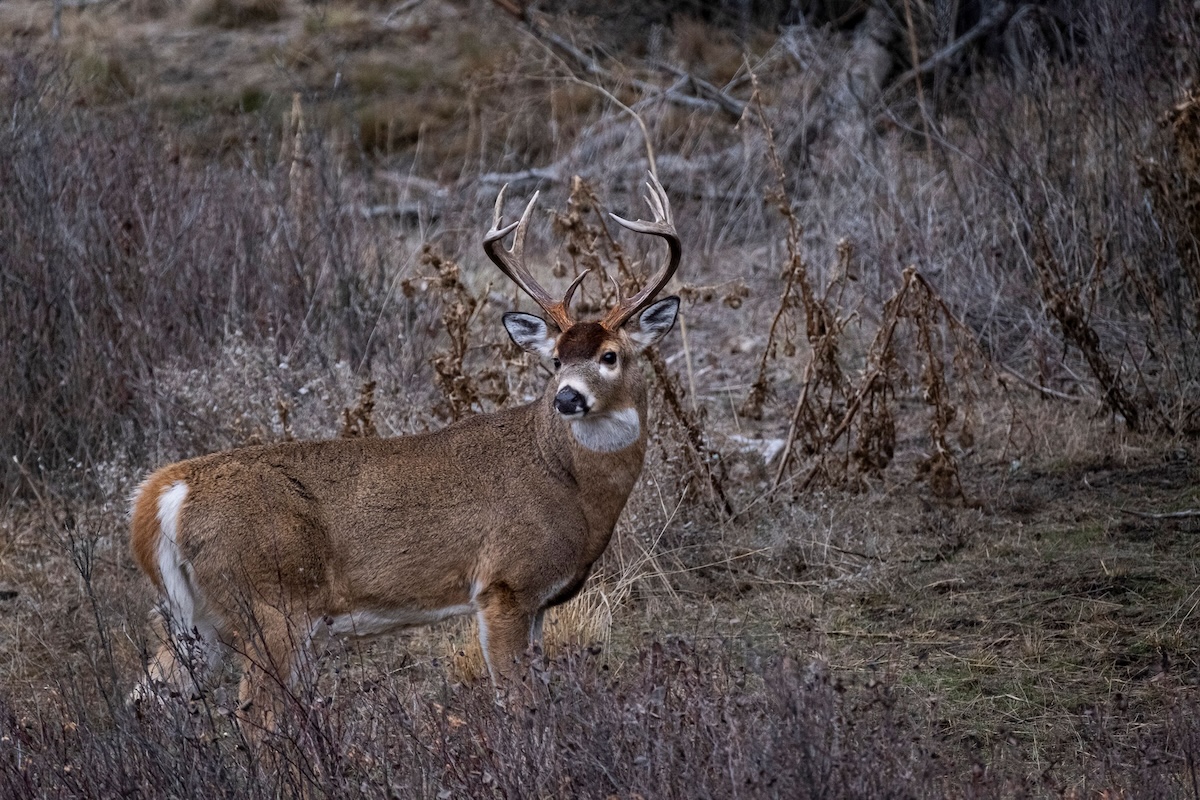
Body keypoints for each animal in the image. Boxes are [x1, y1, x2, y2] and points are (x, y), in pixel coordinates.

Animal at [128, 174, 682, 730]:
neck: (567, 482)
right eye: (556, 360)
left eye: (610, 356)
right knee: (257, 720)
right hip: (268, 605)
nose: (566, 398)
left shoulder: (540, 603)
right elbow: (517, 702)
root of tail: (164, 494)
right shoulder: (504, 584)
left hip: (196, 620)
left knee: (143, 698)